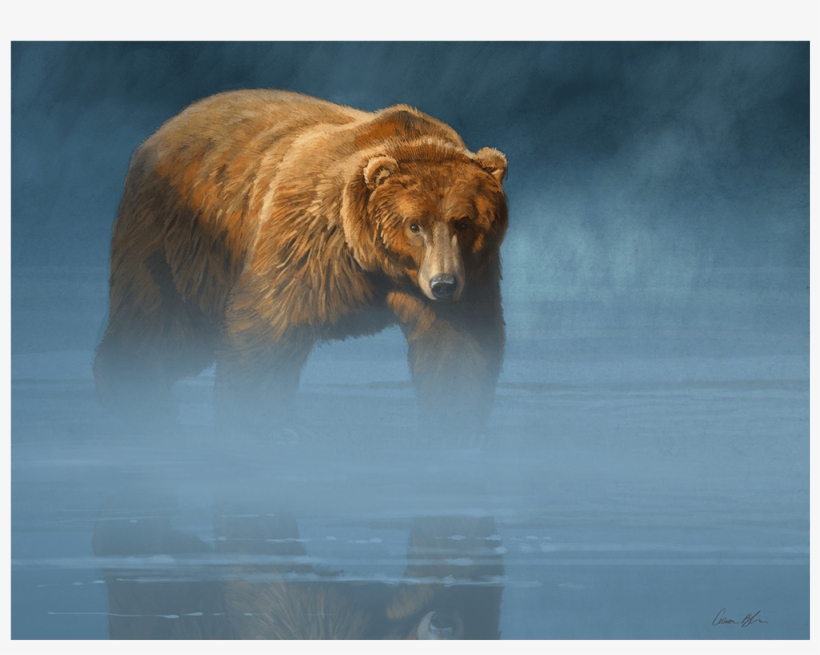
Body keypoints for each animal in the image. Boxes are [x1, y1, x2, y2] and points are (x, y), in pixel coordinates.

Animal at [93, 90, 508, 437]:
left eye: (463, 221)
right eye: (414, 224)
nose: (443, 284)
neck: (376, 262)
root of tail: (160, 132)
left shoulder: (472, 271)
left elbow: (459, 344)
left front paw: (452, 424)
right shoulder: (312, 239)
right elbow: (270, 323)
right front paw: (260, 424)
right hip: (180, 237)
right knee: (163, 321)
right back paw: (140, 398)